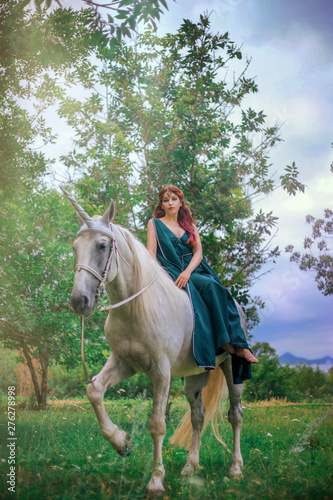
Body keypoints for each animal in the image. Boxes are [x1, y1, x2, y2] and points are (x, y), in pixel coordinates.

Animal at [62, 190, 244, 496]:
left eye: (102, 245)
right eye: (75, 247)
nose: (80, 301)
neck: (136, 307)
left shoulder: (161, 370)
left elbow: (157, 423)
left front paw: (156, 480)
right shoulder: (124, 362)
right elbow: (94, 391)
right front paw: (121, 442)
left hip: (233, 367)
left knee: (235, 415)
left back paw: (236, 468)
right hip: (195, 377)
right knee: (198, 416)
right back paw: (190, 468)